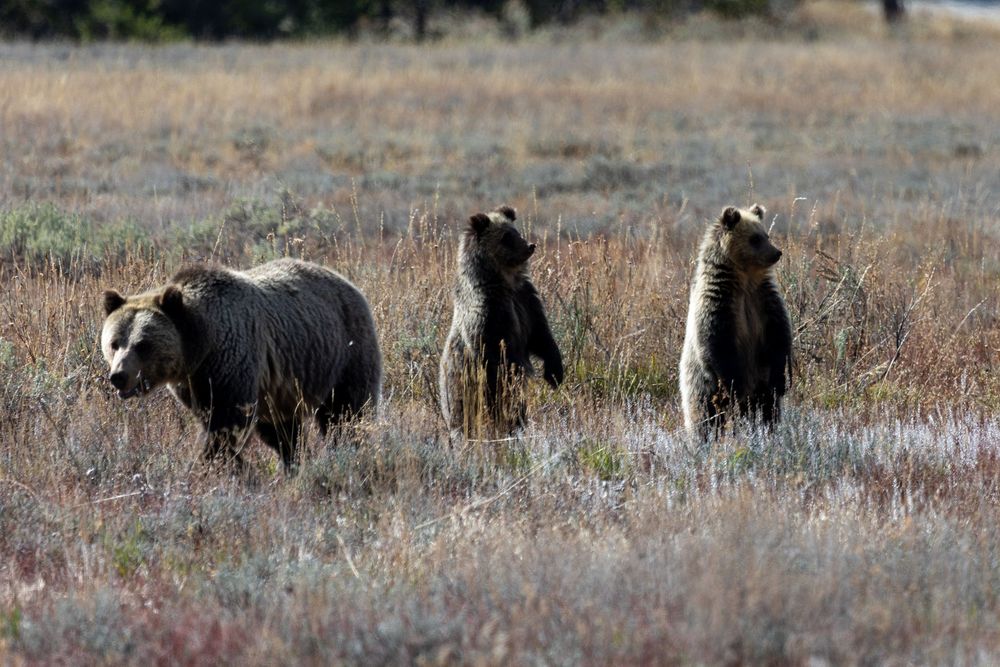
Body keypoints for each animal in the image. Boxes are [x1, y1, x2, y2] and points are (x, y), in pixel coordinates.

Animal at [100, 258, 382, 473]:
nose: (119, 375)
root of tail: (346, 281)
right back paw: (294, 463)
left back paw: (348, 452)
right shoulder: (195, 384)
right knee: (285, 431)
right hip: (282, 389)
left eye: (143, 344)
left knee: (346, 413)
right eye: (114, 343)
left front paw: (207, 464)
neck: (201, 347)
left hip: (343, 352)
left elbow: (228, 423)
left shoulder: (232, 364)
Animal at [439, 205, 564, 439]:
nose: (530, 246)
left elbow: (541, 336)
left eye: (515, 231)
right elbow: (496, 354)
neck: (505, 281)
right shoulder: (488, 311)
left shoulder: (526, 300)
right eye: (506, 237)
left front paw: (554, 373)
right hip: (461, 393)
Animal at [679, 204, 792, 439]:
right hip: (700, 387)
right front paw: (734, 386)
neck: (745, 279)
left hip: (761, 385)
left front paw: (782, 379)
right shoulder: (720, 305)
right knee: (704, 418)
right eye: (755, 238)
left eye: (766, 235)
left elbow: (779, 336)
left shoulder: (764, 302)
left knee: (768, 410)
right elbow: (716, 344)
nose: (776, 252)